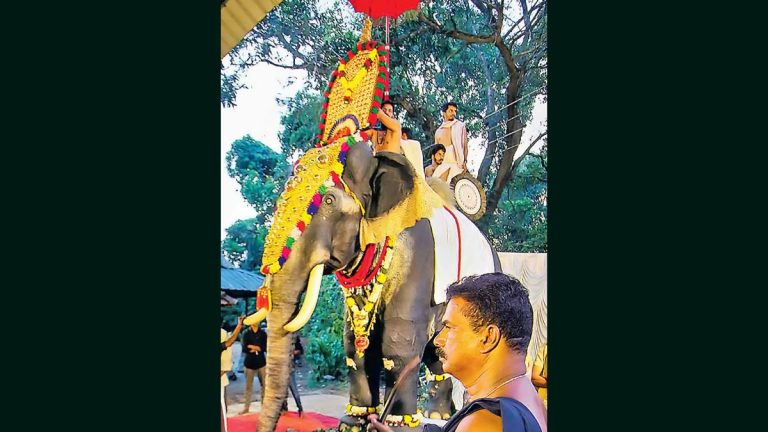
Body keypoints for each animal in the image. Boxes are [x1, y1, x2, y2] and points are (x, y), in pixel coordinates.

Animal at [250, 136, 504, 432]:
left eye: (328, 200)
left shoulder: (418, 256)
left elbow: (399, 341)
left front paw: (396, 425)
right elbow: (354, 342)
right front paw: (354, 421)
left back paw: (440, 415)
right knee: (437, 354)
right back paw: (439, 416)